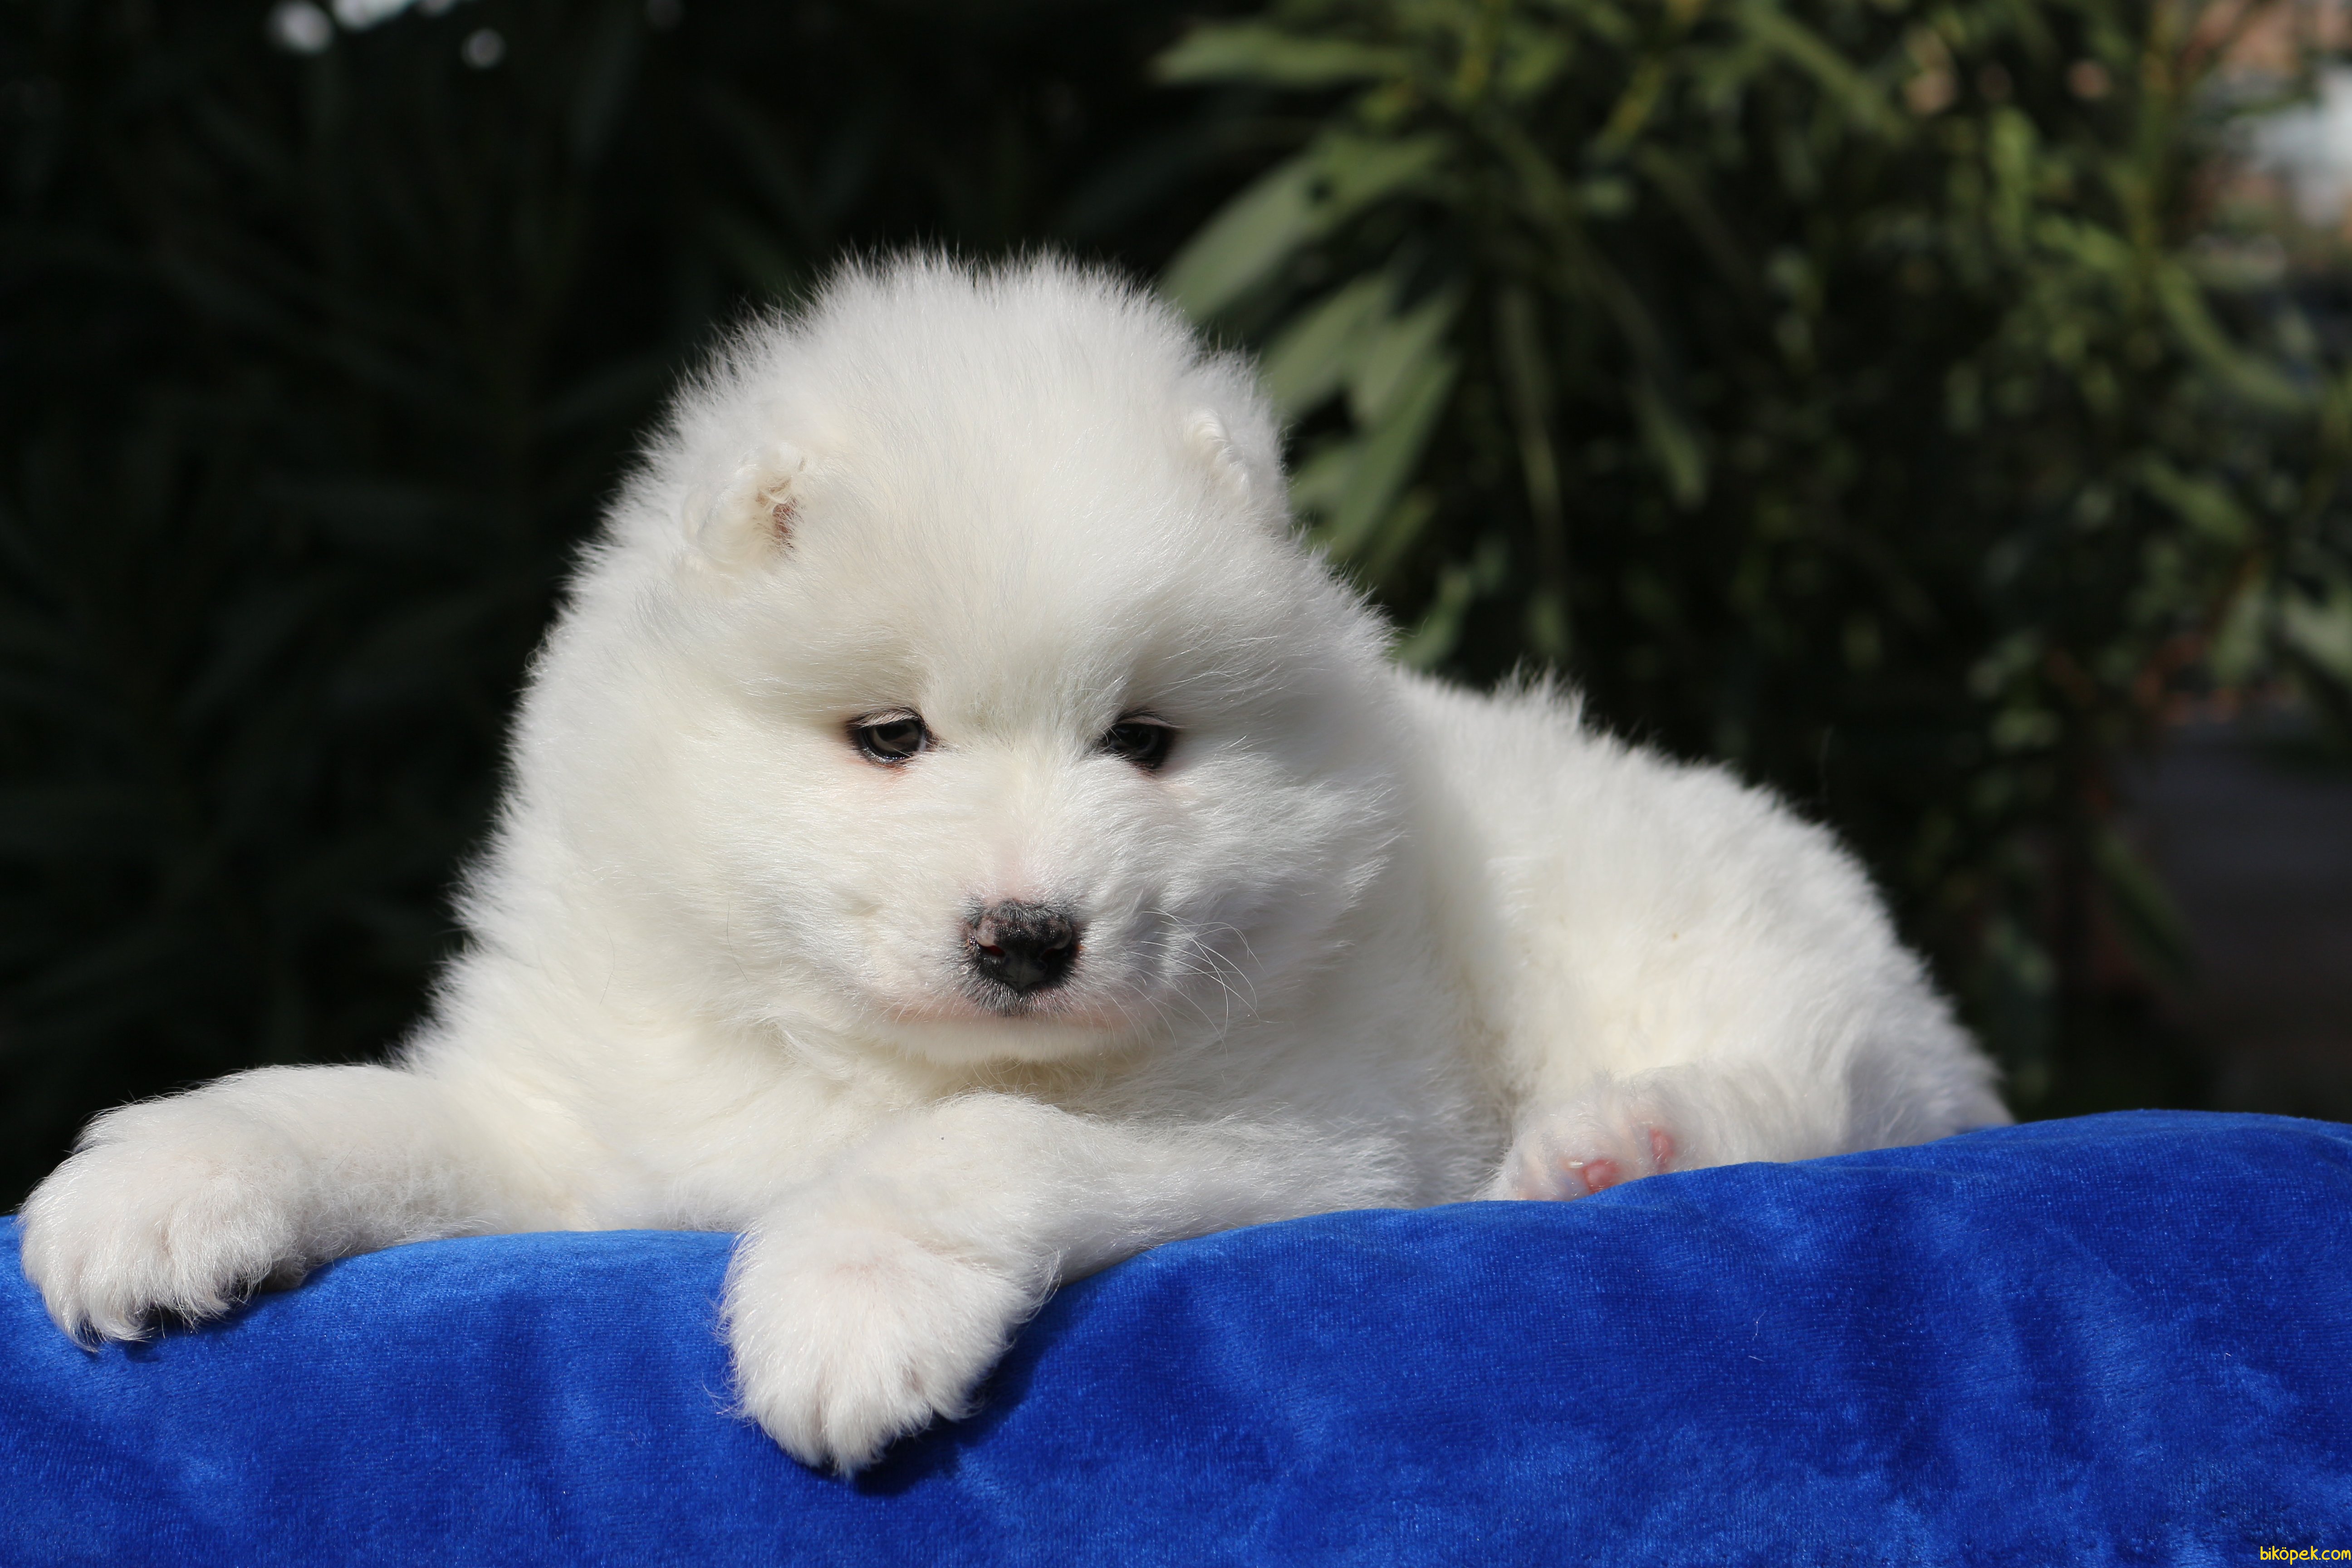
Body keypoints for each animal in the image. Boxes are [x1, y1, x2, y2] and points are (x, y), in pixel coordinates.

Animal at [19, 255, 2007, 1472]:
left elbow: (981, 1142)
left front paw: (841, 1301)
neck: (864, 1055)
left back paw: (1619, 1145)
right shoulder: (580, 1128)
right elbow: (363, 1108)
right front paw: (160, 1183)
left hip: (1672, 911)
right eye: (890, 737)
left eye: (1143, 742)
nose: (1029, 937)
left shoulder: (1305, 1138)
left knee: (1825, 1088)